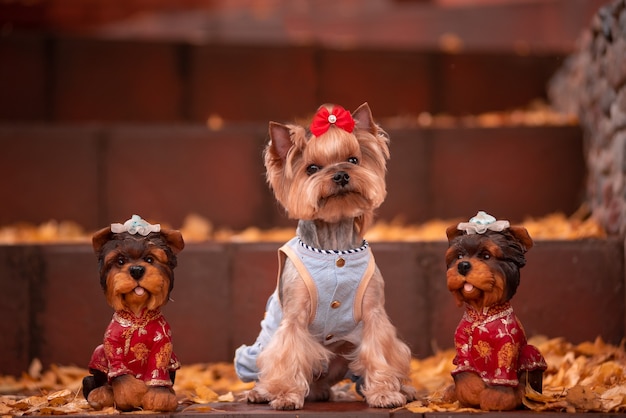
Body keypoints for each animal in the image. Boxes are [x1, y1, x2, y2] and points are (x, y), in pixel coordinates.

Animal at [81, 216, 183, 412]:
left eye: (150, 259)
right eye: (120, 261)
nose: (136, 270)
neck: (137, 317)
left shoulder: (163, 343)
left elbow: (158, 369)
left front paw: (160, 397)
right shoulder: (111, 342)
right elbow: (119, 371)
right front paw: (132, 395)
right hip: (98, 354)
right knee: (98, 379)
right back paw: (101, 394)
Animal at [234, 103, 414, 410]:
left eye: (353, 160)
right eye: (312, 168)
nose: (340, 174)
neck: (335, 248)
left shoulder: (373, 314)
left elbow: (379, 353)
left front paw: (384, 393)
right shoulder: (294, 317)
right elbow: (287, 354)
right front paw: (286, 396)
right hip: (261, 348)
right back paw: (263, 392)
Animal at [442, 212, 544, 412]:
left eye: (486, 256)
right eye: (459, 255)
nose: (463, 265)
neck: (482, 313)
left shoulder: (507, 347)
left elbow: (503, 374)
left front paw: (497, 397)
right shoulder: (462, 348)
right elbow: (464, 372)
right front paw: (471, 393)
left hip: (530, 354)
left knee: (529, 379)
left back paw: (523, 395)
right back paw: (450, 392)